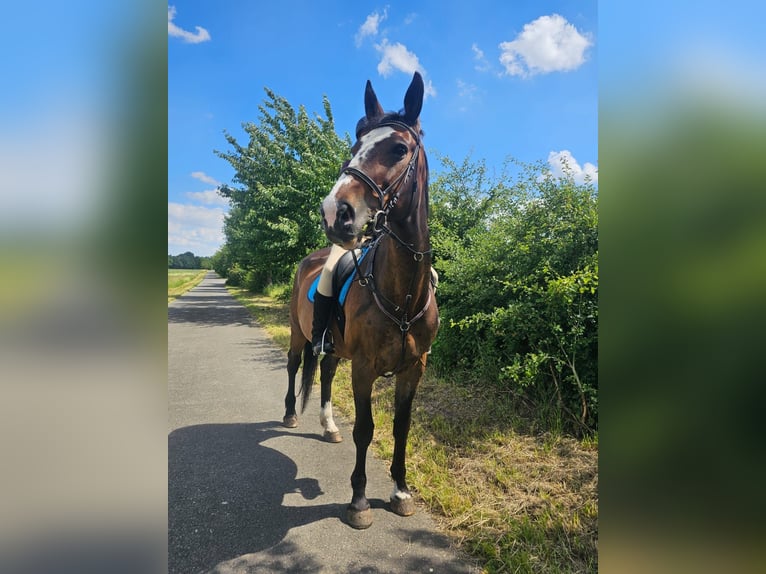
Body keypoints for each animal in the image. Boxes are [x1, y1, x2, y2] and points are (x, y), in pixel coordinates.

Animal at [284, 72, 440, 532]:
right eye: (354, 149)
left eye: (399, 149)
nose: (335, 212)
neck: (402, 293)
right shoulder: (366, 368)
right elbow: (366, 430)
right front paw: (358, 500)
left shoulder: (414, 368)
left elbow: (401, 428)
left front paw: (401, 491)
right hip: (299, 334)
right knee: (295, 366)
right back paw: (290, 414)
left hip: (335, 348)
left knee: (326, 373)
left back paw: (328, 424)